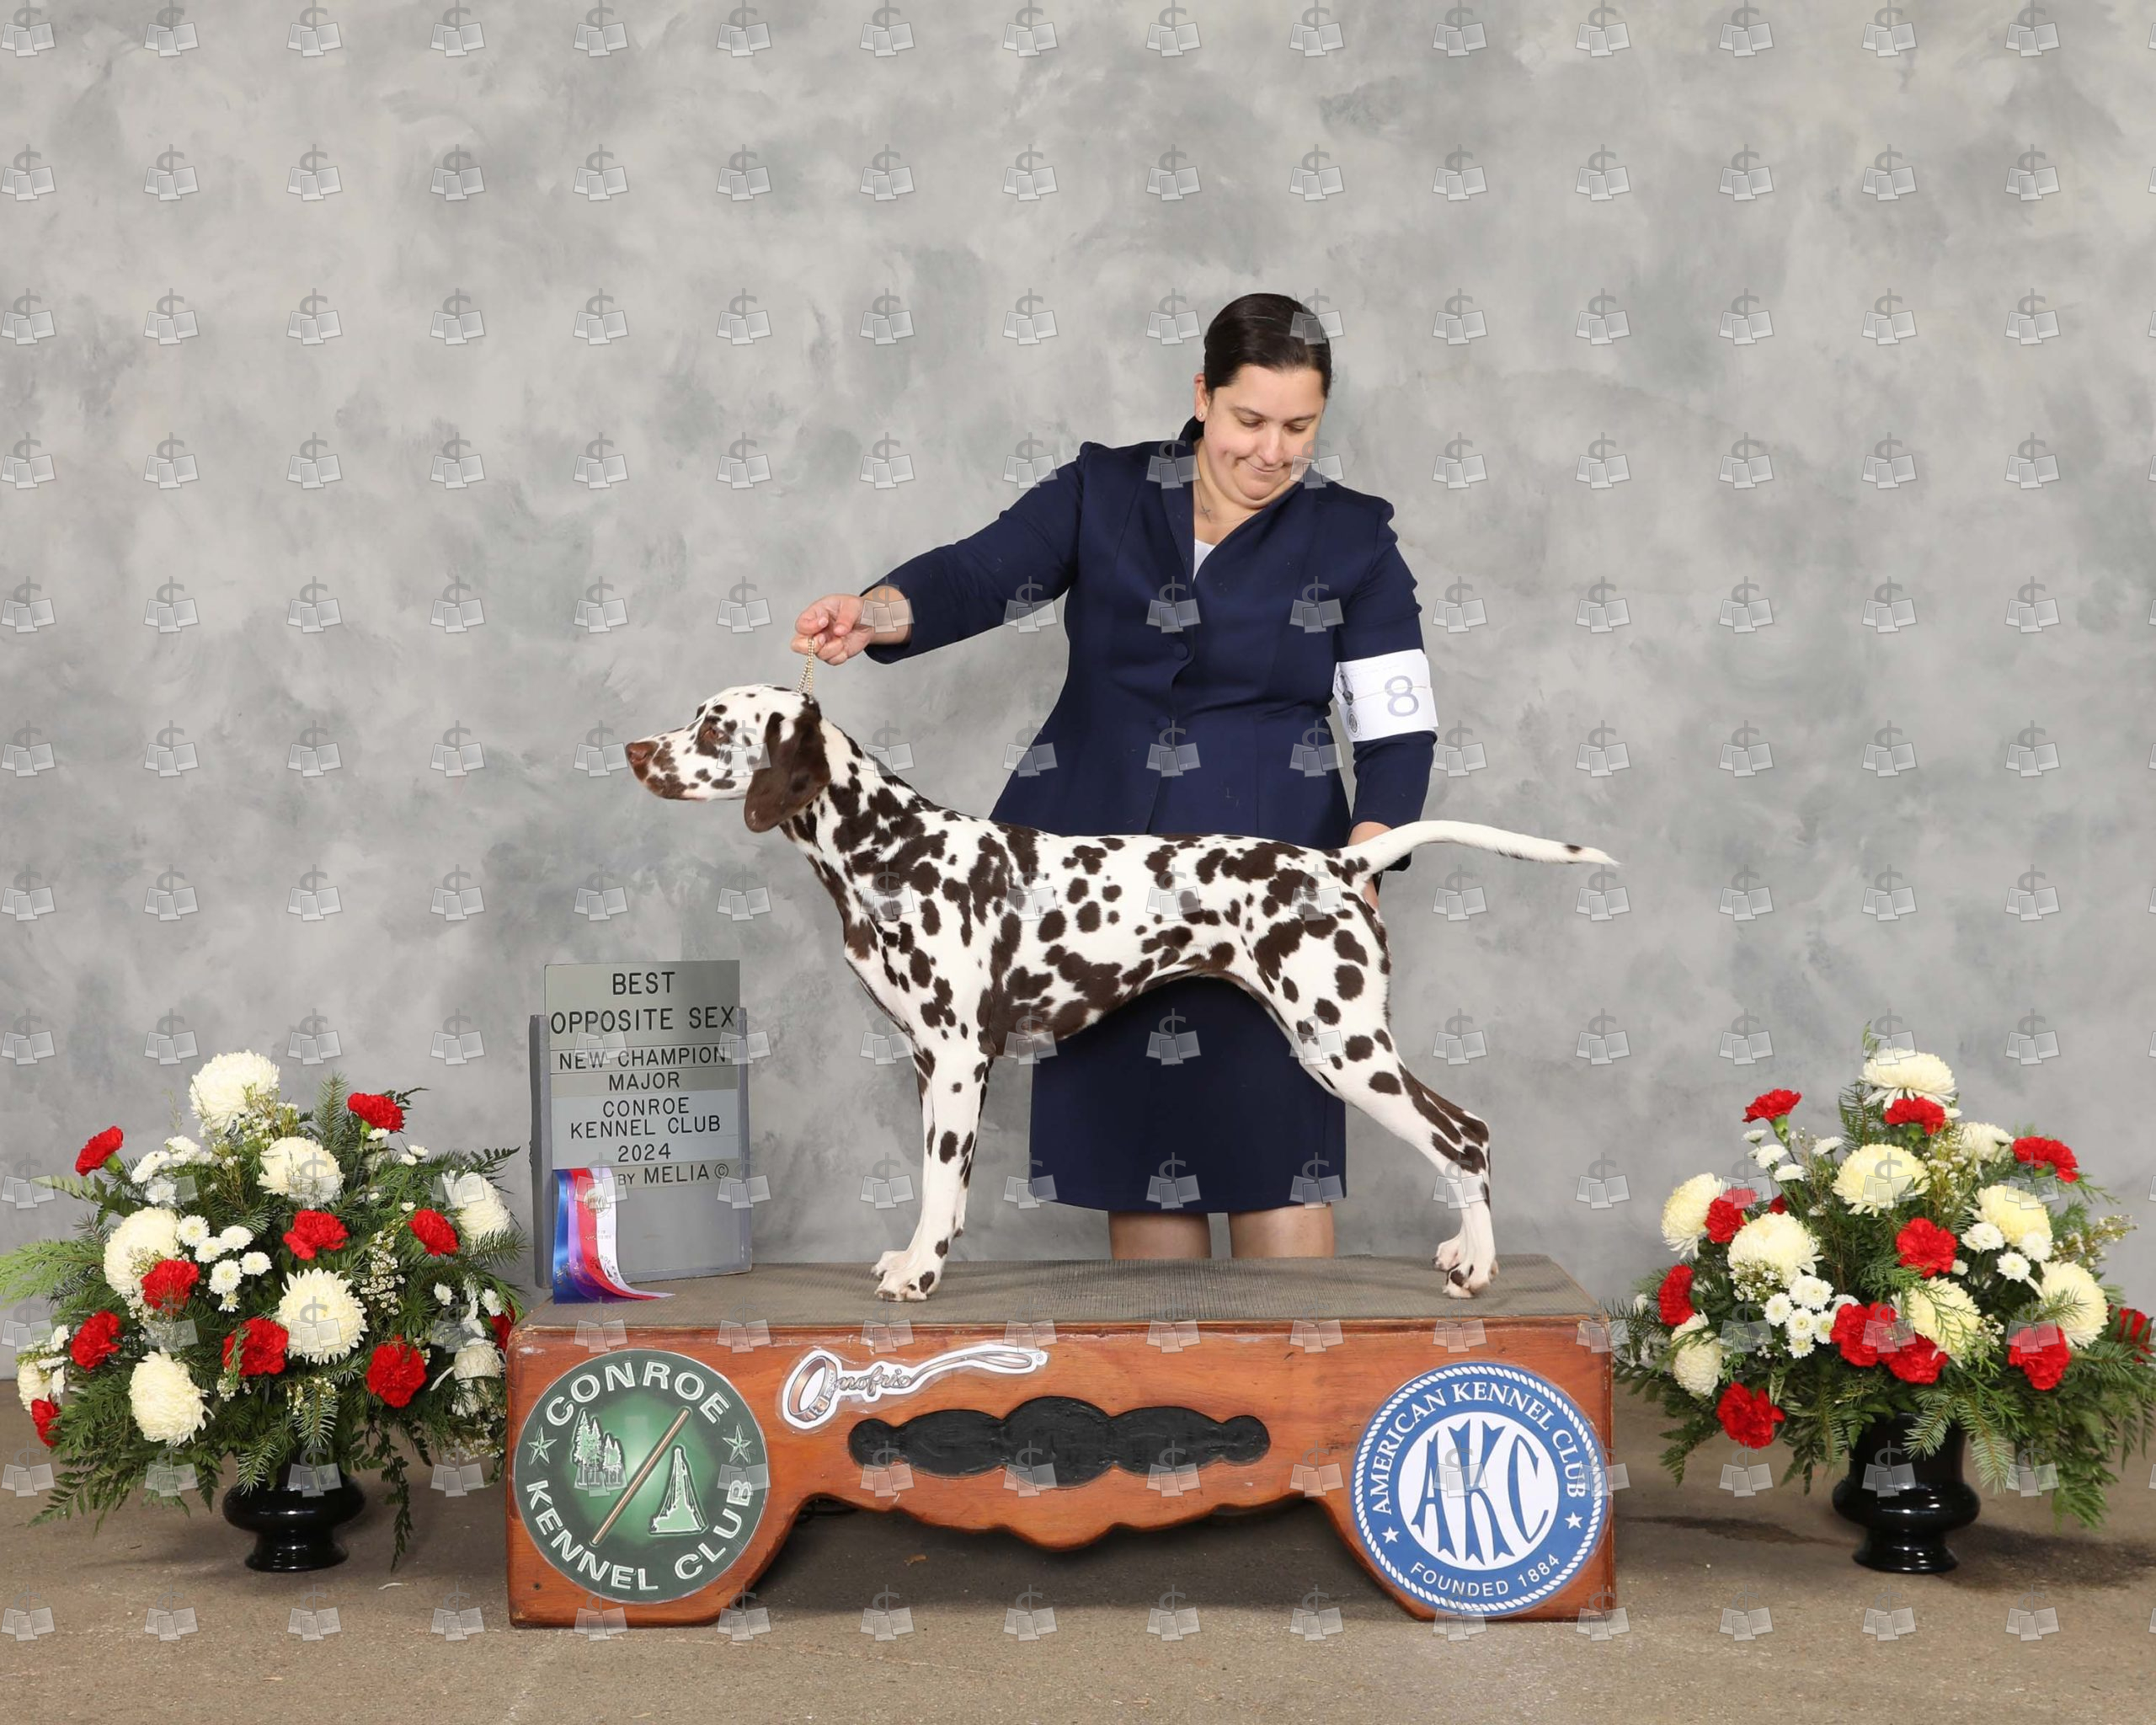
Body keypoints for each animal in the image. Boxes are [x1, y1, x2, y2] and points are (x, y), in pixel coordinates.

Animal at [626, 685, 1617, 1303]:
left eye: (712, 726)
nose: (635, 750)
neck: (890, 850)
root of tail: (1338, 863)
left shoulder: (959, 1056)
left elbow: (939, 1183)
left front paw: (920, 1275)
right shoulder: (925, 1059)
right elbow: (940, 1184)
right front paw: (915, 1258)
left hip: (1343, 1046)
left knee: (1464, 1135)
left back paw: (1478, 1268)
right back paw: (1464, 1250)